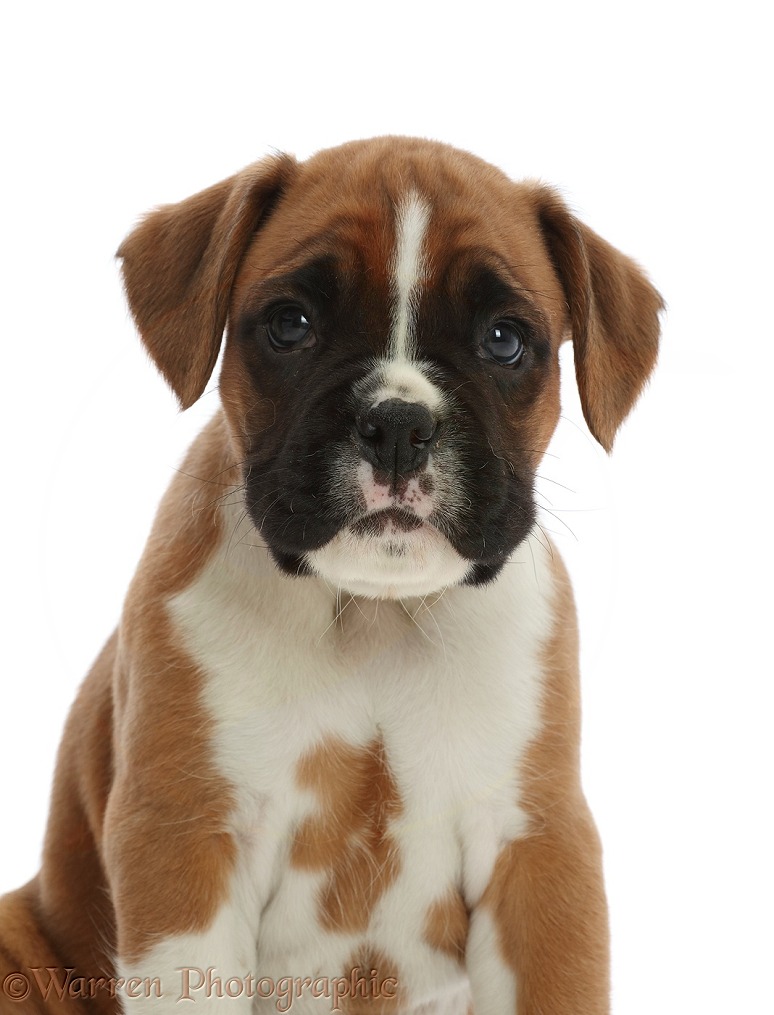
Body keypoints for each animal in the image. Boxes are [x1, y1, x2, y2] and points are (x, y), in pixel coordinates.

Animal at [0, 137, 661, 1015]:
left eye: (504, 339)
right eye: (291, 325)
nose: (400, 424)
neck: (372, 611)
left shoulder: (538, 847)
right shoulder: (186, 839)